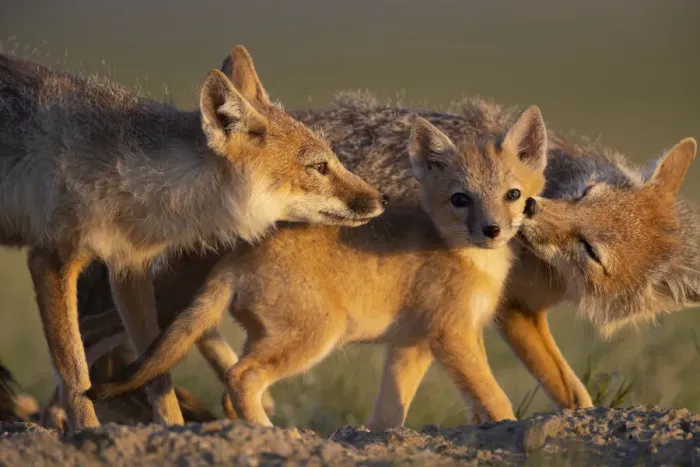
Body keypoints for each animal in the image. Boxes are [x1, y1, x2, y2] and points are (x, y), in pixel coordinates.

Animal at [0, 46, 387, 431]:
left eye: (333, 159)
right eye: (319, 167)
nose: (382, 200)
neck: (133, 178)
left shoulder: (129, 268)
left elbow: (156, 371)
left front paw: (171, 427)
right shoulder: (52, 259)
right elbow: (75, 372)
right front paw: (88, 432)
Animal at [85, 105, 549, 429]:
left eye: (512, 194)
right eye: (460, 199)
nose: (491, 230)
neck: (470, 259)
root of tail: (238, 257)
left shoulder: (413, 344)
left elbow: (389, 414)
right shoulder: (452, 336)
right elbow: (494, 399)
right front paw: (508, 431)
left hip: (272, 338)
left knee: (231, 389)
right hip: (312, 338)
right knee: (240, 377)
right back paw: (269, 434)